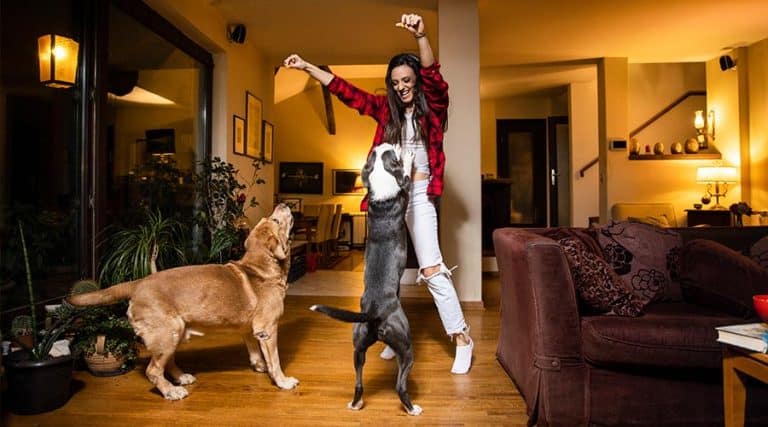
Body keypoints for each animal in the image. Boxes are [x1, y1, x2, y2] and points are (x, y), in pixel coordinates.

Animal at [69, 204, 296, 402]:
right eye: (276, 220)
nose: (283, 204)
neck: (259, 268)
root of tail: (138, 282)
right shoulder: (267, 329)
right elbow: (275, 360)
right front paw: (282, 381)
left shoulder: (250, 329)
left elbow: (255, 352)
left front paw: (260, 366)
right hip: (168, 332)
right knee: (153, 370)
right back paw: (171, 391)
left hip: (175, 332)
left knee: (167, 363)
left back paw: (181, 378)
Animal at [310, 142, 420, 416]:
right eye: (391, 153)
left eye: (376, 153)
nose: (390, 143)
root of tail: (373, 312)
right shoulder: (405, 189)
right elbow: (407, 178)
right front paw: (409, 156)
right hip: (406, 346)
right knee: (400, 385)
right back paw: (412, 408)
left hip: (357, 349)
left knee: (358, 382)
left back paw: (355, 403)